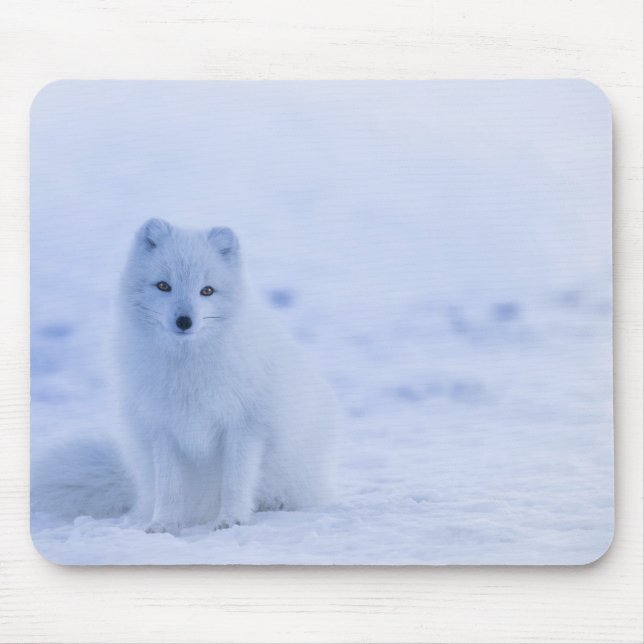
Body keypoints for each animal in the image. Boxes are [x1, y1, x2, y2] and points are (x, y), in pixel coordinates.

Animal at [31, 219, 340, 534]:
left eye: (207, 291)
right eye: (163, 286)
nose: (184, 321)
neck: (187, 368)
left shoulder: (244, 426)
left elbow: (235, 482)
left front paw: (231, 520)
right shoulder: (162, 427)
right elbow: (169, 488)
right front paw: (163, 525)